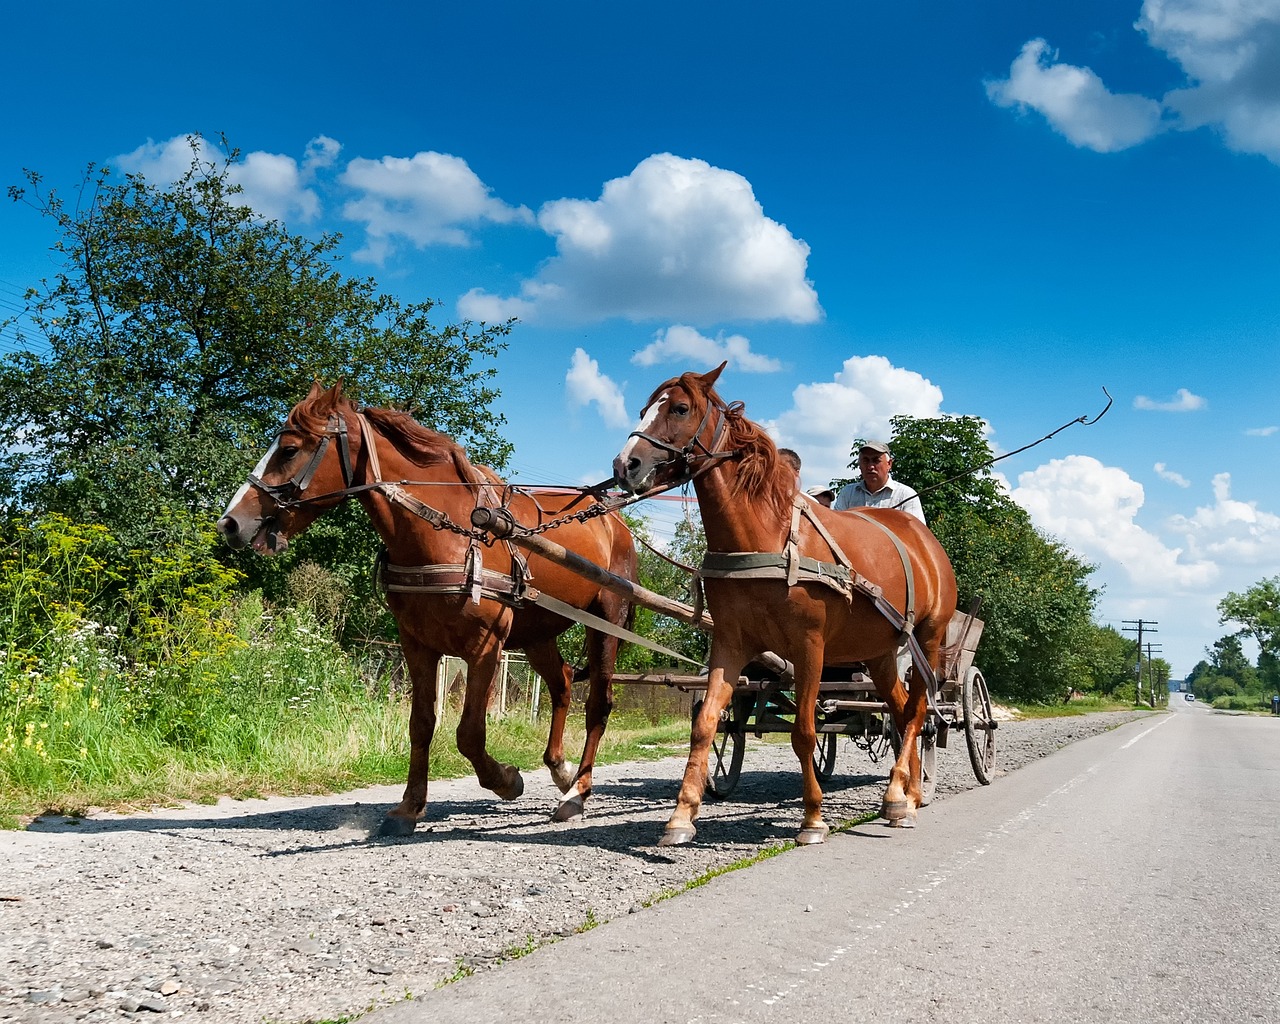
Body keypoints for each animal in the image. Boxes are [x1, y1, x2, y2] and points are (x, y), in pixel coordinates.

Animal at [222, 378, 640, 834]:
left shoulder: (485, 648)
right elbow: (421, 725)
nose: (229, 522)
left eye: (290, 449)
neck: (448, 534)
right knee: (562, 683)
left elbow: (469, 734)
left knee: (598, 705)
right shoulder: (417, 645)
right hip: (536, 633)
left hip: (606, 621)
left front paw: (506, 780)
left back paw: (577, 793)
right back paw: (561, 770)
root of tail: (615, 523)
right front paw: (409, 807)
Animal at [614, 363, 957, 844]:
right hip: (880, 652)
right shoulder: (731, 643)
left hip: (925, 639)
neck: (766, 536)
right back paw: (904, 794)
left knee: (917, 712)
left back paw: (900, 798)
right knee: (900, 706)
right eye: (644, 409)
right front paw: (681, 817)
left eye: (680, 408)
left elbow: (804, 733)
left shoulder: (809, 647)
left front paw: (812, 818)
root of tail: (925, 541)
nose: (625, 465)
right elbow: (705, 725)